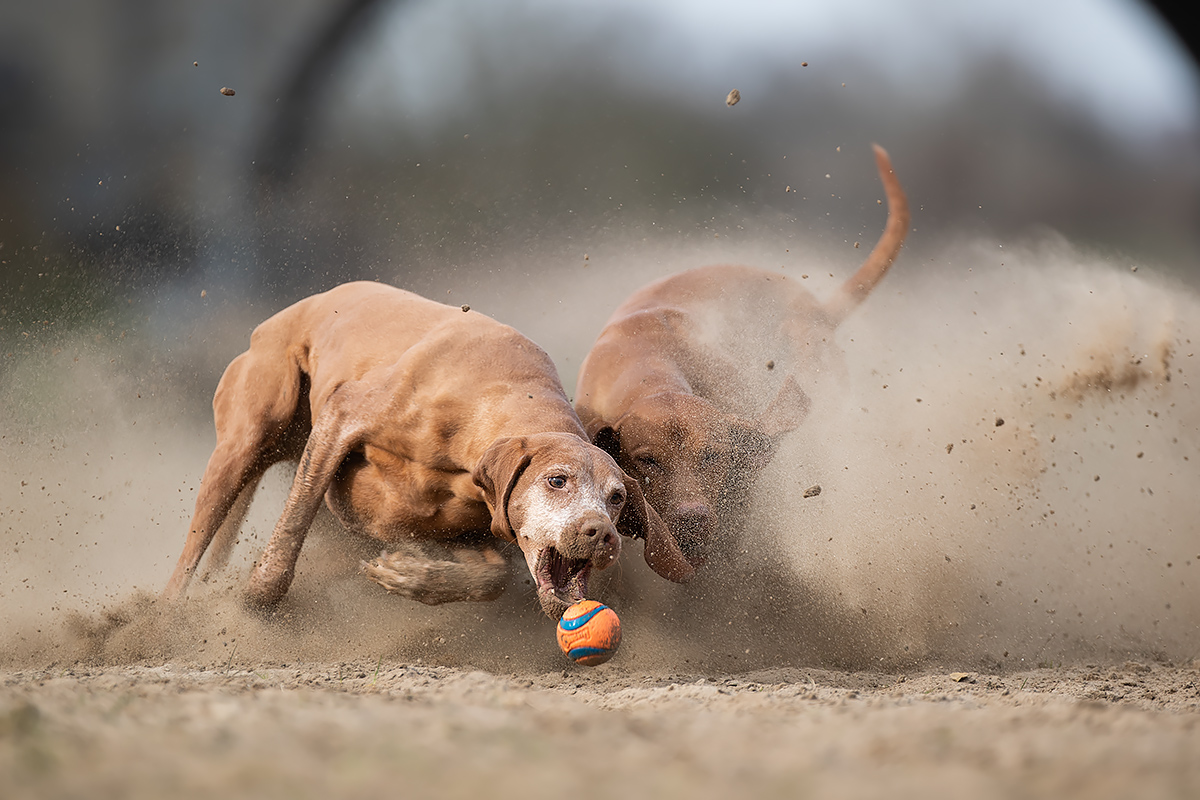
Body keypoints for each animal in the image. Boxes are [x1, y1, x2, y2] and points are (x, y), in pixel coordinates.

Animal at [163, 281, 691, 618]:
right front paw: (256, 601)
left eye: (617, 497)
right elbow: (291, 530)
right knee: (190, 556)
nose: (601, 534)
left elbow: (491, 579)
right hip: (242, 445)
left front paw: (410, 573)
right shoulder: (341, 419)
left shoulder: (469, 526)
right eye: (556, 480)